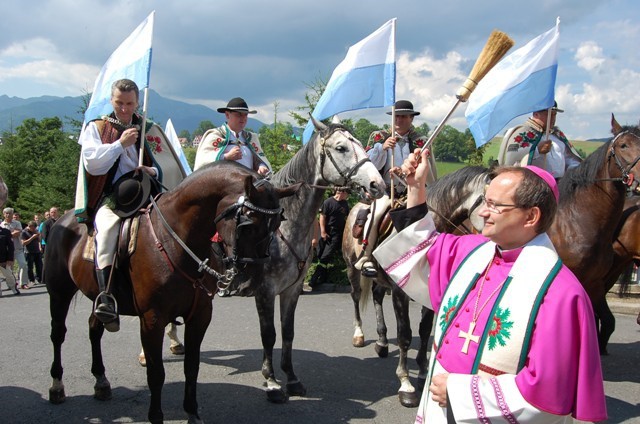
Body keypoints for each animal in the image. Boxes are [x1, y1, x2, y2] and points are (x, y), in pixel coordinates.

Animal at [46, 161, 302, 422]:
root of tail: (63, 220)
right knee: (58, 334)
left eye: (277, 224)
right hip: (58, 292)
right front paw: (156, 416)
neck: (175, 241)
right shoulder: (152, 319)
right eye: (247, 224)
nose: (252, 280)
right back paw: (57, 386)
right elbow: (156, 373)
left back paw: (101, 381)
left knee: (94, 329)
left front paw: (193, 413)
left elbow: (192, 366)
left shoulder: (199, 316)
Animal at [250, 117, 382, 402]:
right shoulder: (265, 291)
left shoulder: (292, 289)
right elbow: (268, 335)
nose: (377, 184)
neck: (282, 225)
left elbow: (287, 332)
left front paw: (291, 379)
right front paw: (271, 381)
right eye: (341, 147)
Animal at [342, 166, 488, 408]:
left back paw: (382, 342)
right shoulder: (399, 293)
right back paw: (359, 334)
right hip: (351, 268)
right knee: (356, 297)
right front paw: (406, 385)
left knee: (377, 297)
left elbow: (425, 330)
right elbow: (405, 335)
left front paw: (421, 373)